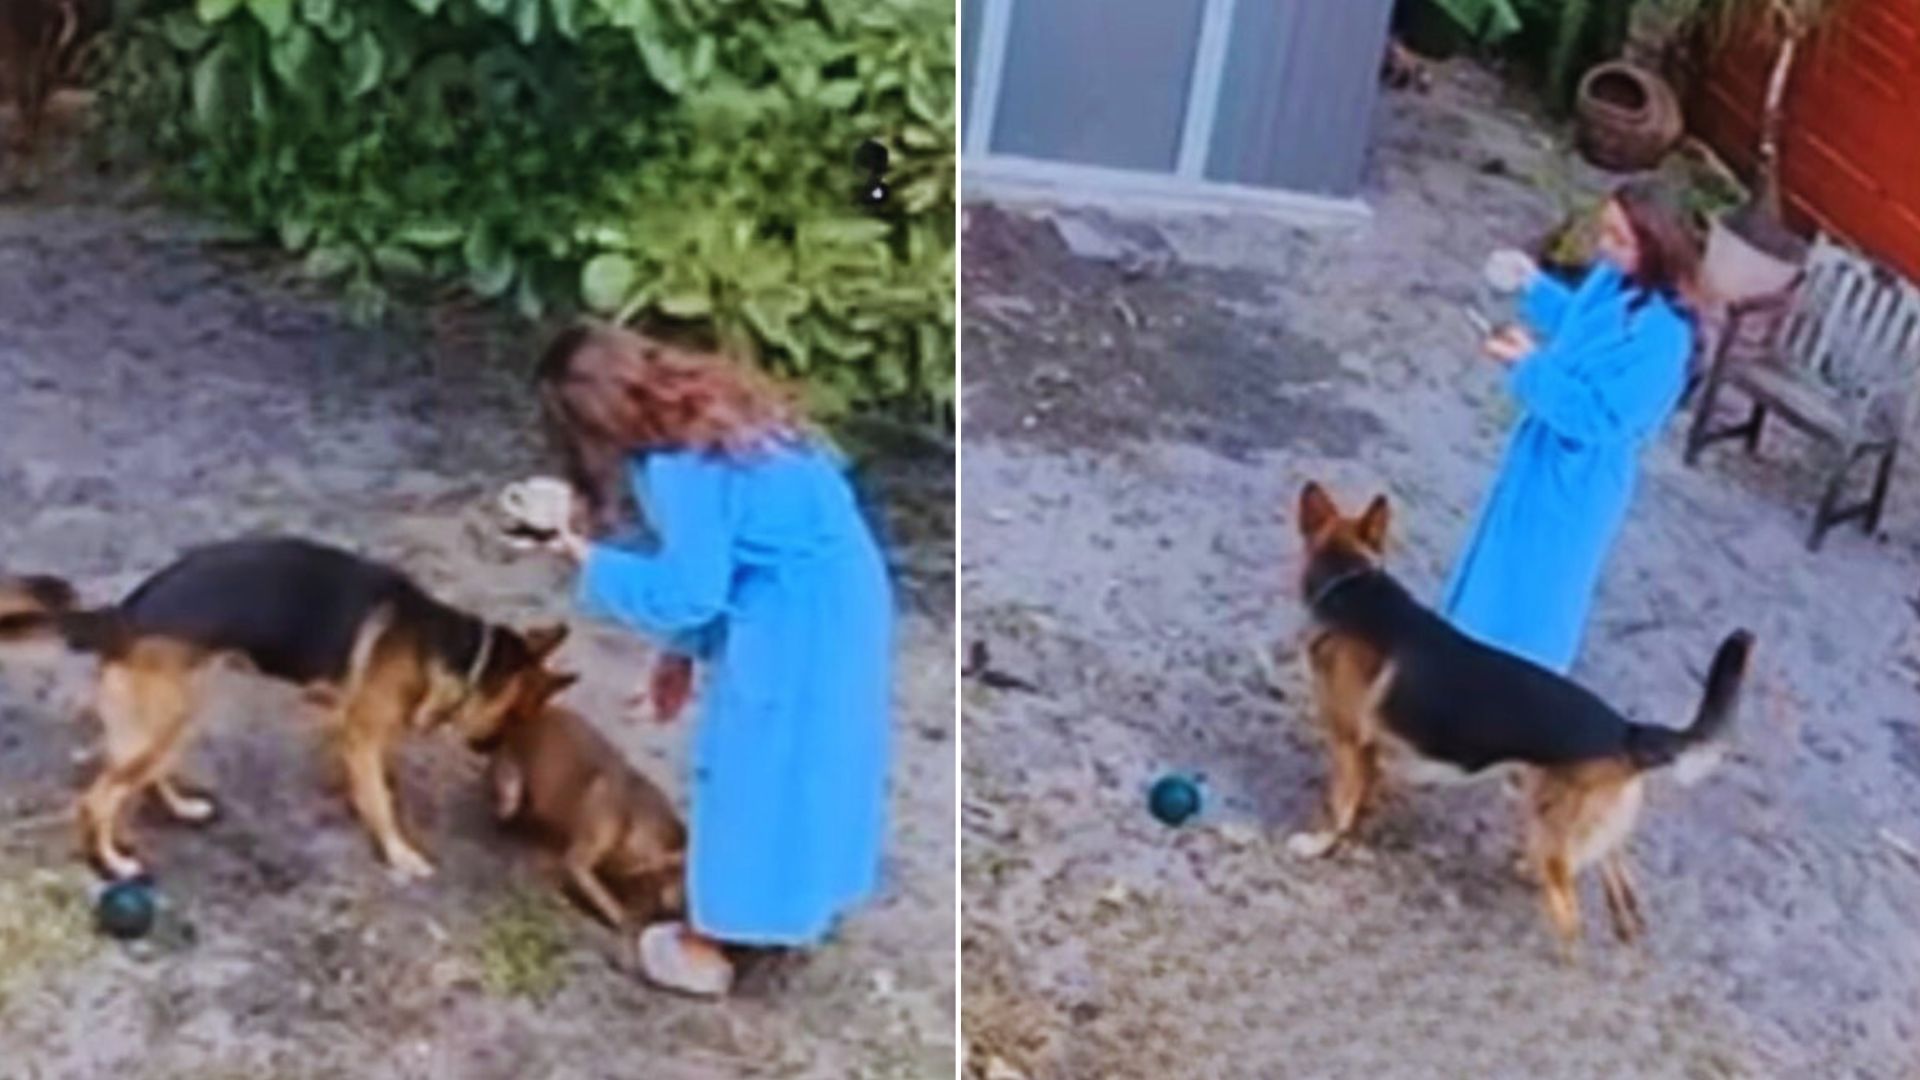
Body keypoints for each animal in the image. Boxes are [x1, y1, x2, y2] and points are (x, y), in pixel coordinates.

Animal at [0, 534, 568, 880]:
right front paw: (398, 853)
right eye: (516, 716)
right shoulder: (362, 732)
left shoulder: (350, 728)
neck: (456, 650)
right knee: (96, 800)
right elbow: (381, 800)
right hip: (165, 720)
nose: (490, 750)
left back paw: (182, 808)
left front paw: (353, 799)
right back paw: (113, 864)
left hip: (173, 718)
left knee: (141, 776)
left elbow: (366, 779)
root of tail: (121, 615)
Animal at [483, 664, 687, 949]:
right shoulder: (583, 858)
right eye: (679, 876)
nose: (677, 912)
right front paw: (624, 918)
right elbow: (600, 892)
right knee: (507, 793)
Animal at [1290, 480, 1758, 949]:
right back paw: (1623, 922)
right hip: (1563, 813)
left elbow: (1340, 806)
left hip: (1548, 829)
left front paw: (1318, 844)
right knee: (1616, 868)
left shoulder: (1349, 742)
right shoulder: (1369, 750)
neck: (1353, 586)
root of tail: (1626, 730)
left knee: (1573, 918)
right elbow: (1361, 795)